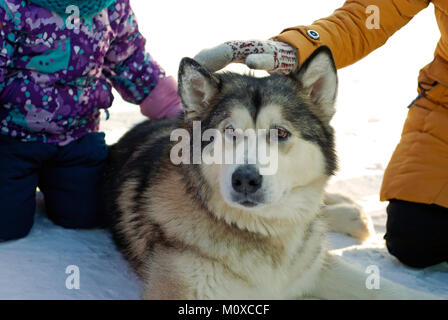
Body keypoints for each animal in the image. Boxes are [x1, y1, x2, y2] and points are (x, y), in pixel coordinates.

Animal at [103, 47, 432, 300]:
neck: (260, 230)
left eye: (280, 132)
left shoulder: (314, 267)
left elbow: (387, 288)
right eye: (230, 131)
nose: (246, 179)